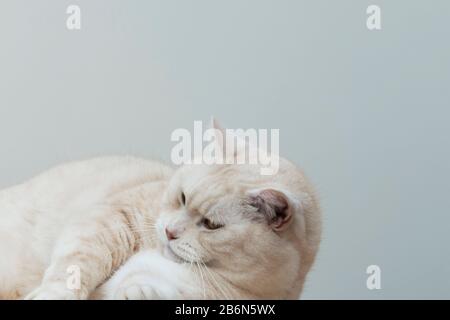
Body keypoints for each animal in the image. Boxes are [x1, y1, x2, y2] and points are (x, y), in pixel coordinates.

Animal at [0, 120, 324, 300]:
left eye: (211, 225)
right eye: (181, 198)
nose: (170, 232)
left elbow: (139, 288)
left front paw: (137, 293)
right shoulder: (115, 218)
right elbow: (76, 264)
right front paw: (53, 293)